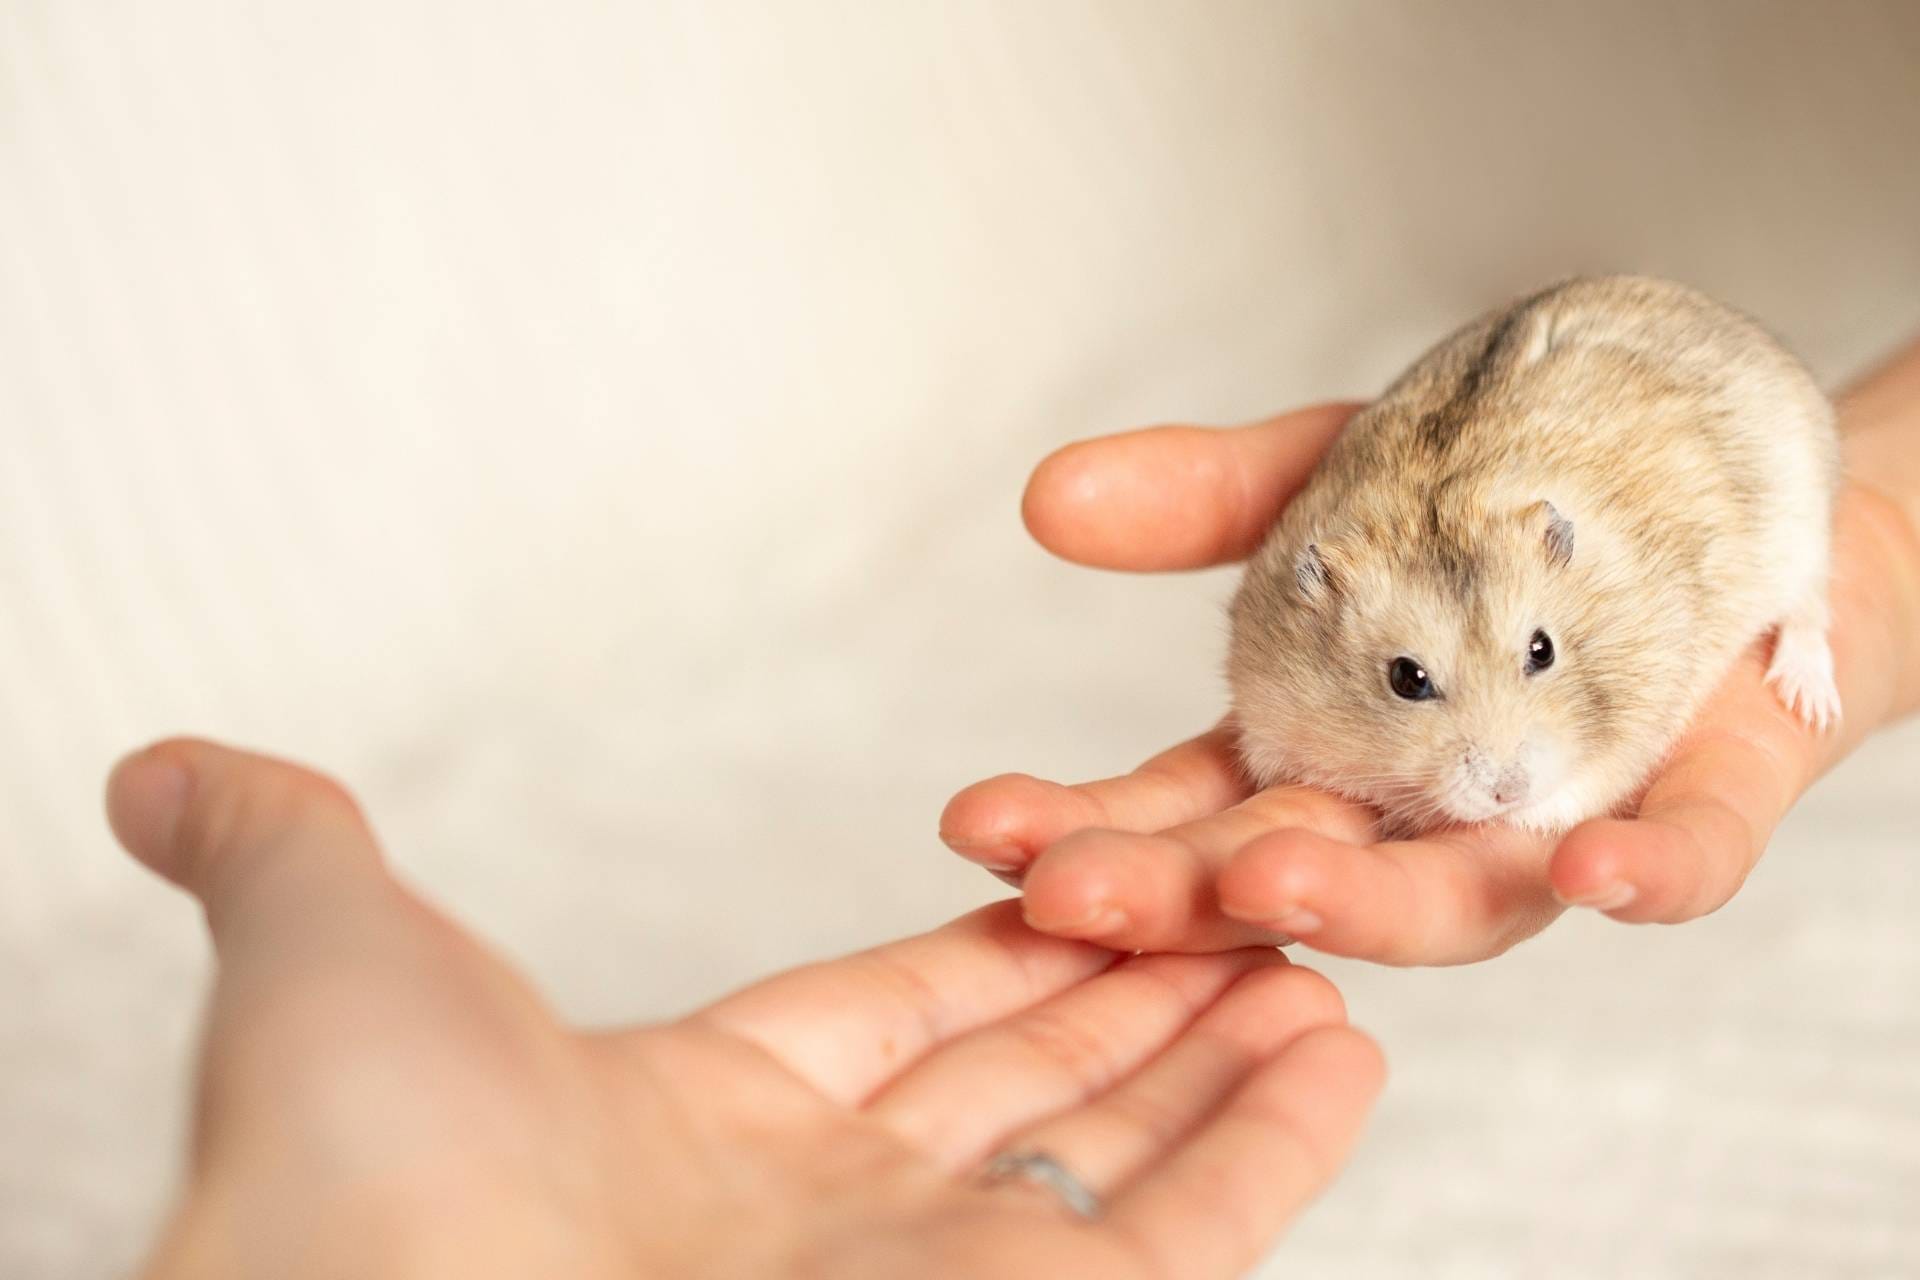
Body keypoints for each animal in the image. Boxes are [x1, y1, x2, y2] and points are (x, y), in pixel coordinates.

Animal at [1228, 276, 1843, 836]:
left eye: (1542, 650)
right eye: (1407, 678)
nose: (1509, 792)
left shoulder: (1643, 712)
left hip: (1804, 518)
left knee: (1809, 610)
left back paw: (1808, 703)